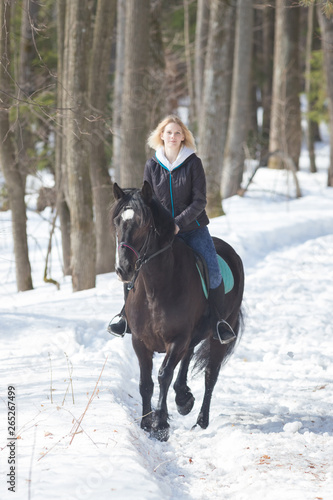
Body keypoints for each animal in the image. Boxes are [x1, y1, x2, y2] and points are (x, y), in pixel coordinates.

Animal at [111, 182, 244, 440]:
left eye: (143, 223)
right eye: (117, 222)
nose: (123, 269)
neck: (155, 289)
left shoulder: (177, 338)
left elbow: (163, 375)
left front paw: (160, 425)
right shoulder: (140, 341)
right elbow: (145, 383)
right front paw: (146, 423)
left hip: (218, 336)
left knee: (210, 374)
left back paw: (201, 420)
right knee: (188, 358)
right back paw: (183, 398)